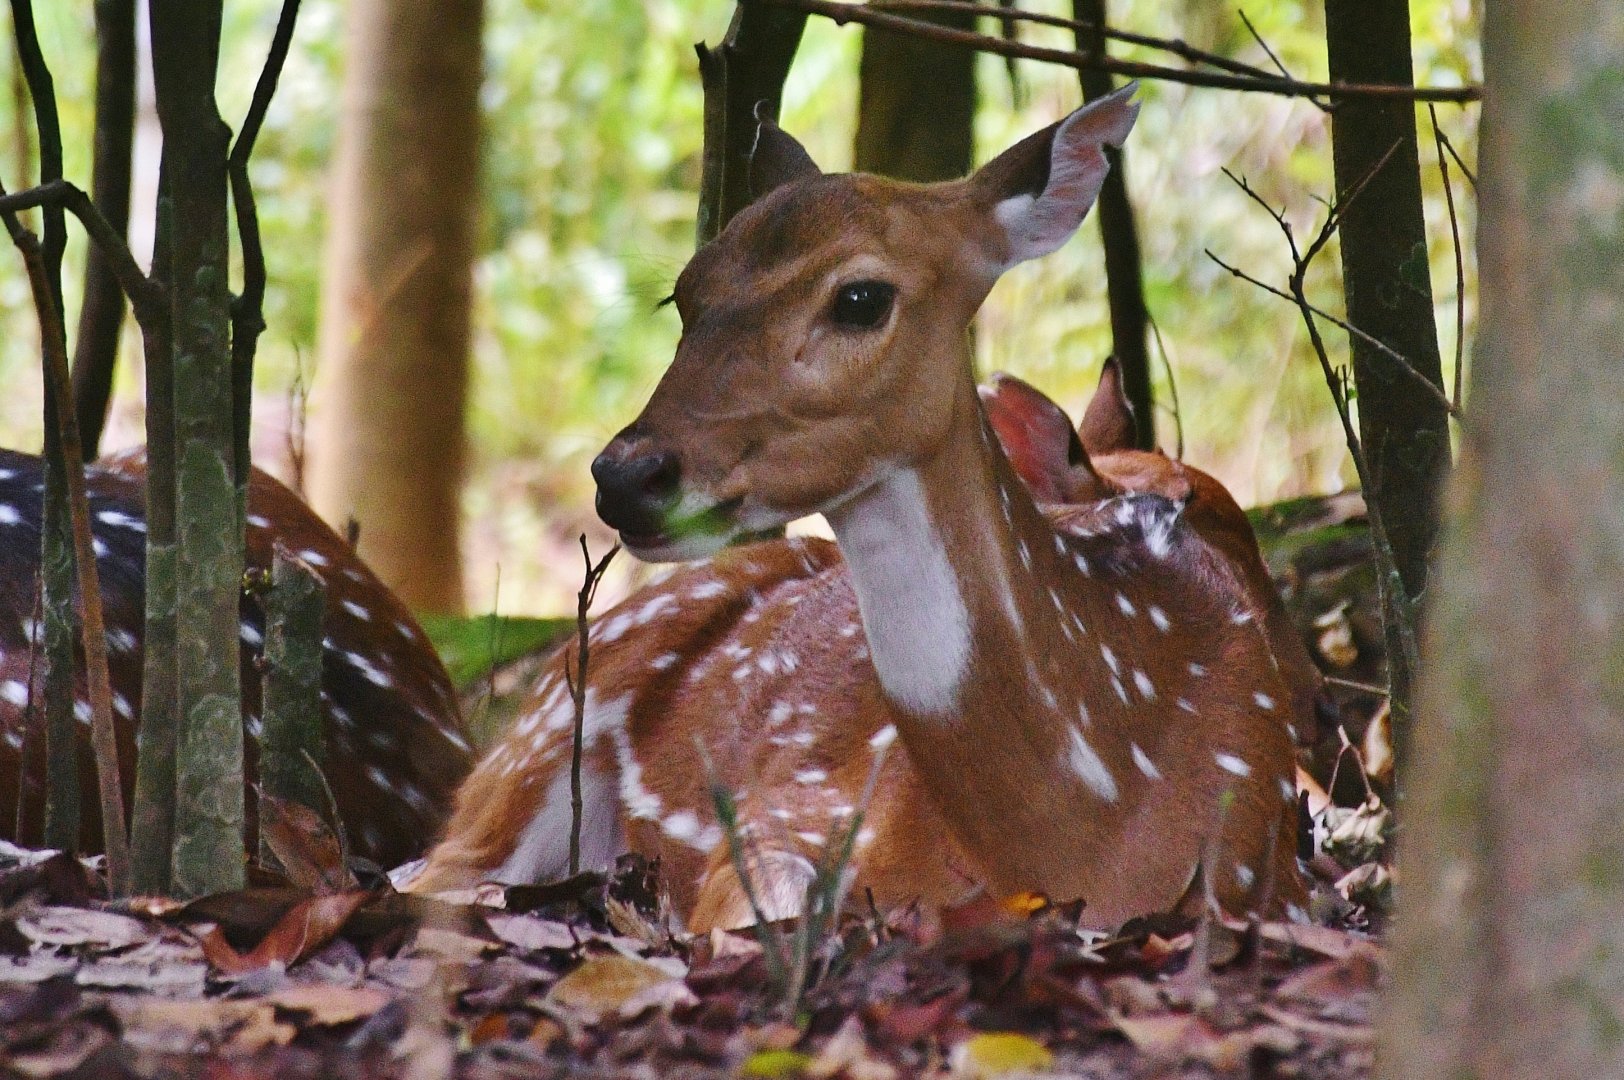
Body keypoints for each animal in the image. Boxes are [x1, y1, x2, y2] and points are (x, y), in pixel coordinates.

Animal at [414, 85, 1308, 930]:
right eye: (684, 294)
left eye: (860, 298)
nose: (628, 475)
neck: (1083, 833)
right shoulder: (785, 818)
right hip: (541, 735)